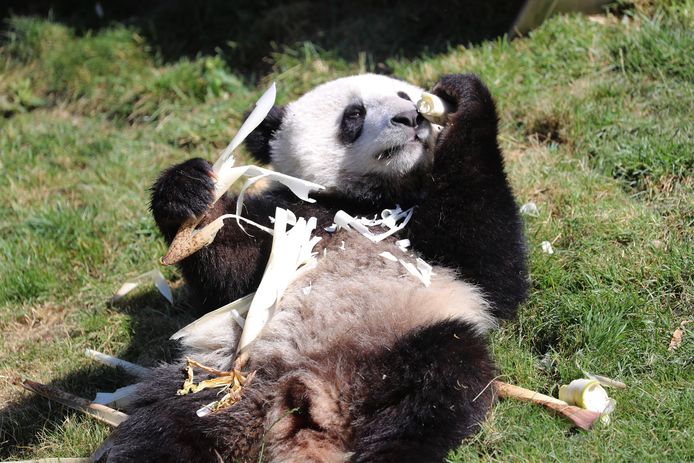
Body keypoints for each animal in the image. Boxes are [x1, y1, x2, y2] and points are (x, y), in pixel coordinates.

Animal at [102, 73, 528, 462]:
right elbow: (229, 268)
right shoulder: (289, 217)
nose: (410, 117)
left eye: (407, 95)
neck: (363, 201)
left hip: (398, 340)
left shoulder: (430, 240)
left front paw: (462, 99)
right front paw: (191, 194)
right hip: (216, 382)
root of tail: (308, 400)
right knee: (162, 429)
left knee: (440, 382)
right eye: (354, 115)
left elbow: (492, 267)